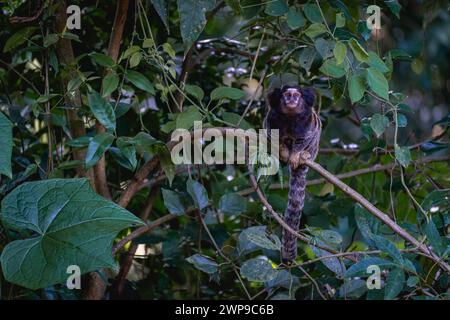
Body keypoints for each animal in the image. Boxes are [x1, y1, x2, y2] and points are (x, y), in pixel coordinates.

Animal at [264, 85, 324, 262]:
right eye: (287, 95)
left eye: (297, 95)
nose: (291, 99)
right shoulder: (271, 119)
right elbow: (271, 133)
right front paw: (282, 149)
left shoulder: (308, 124)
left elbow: (307, 137)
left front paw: (297, 154)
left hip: (315, 148)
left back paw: (305, 155)